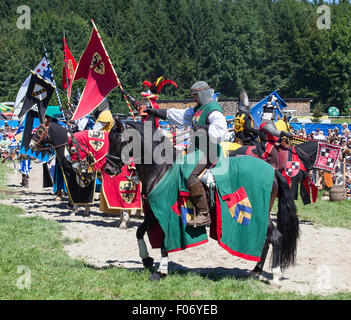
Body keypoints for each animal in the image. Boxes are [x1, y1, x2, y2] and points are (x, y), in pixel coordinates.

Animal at [106, 116, 302, 286]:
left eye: (119, 141)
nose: (108, 168)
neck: (161, 170)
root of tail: (273, 170)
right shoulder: (154, 213)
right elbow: (139, 231)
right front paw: (146, 259)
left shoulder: (166, 213)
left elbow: (164, 243)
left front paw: (161, 272)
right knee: (266, 239)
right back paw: (256, 270)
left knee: (275, 237)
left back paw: (275, 276)